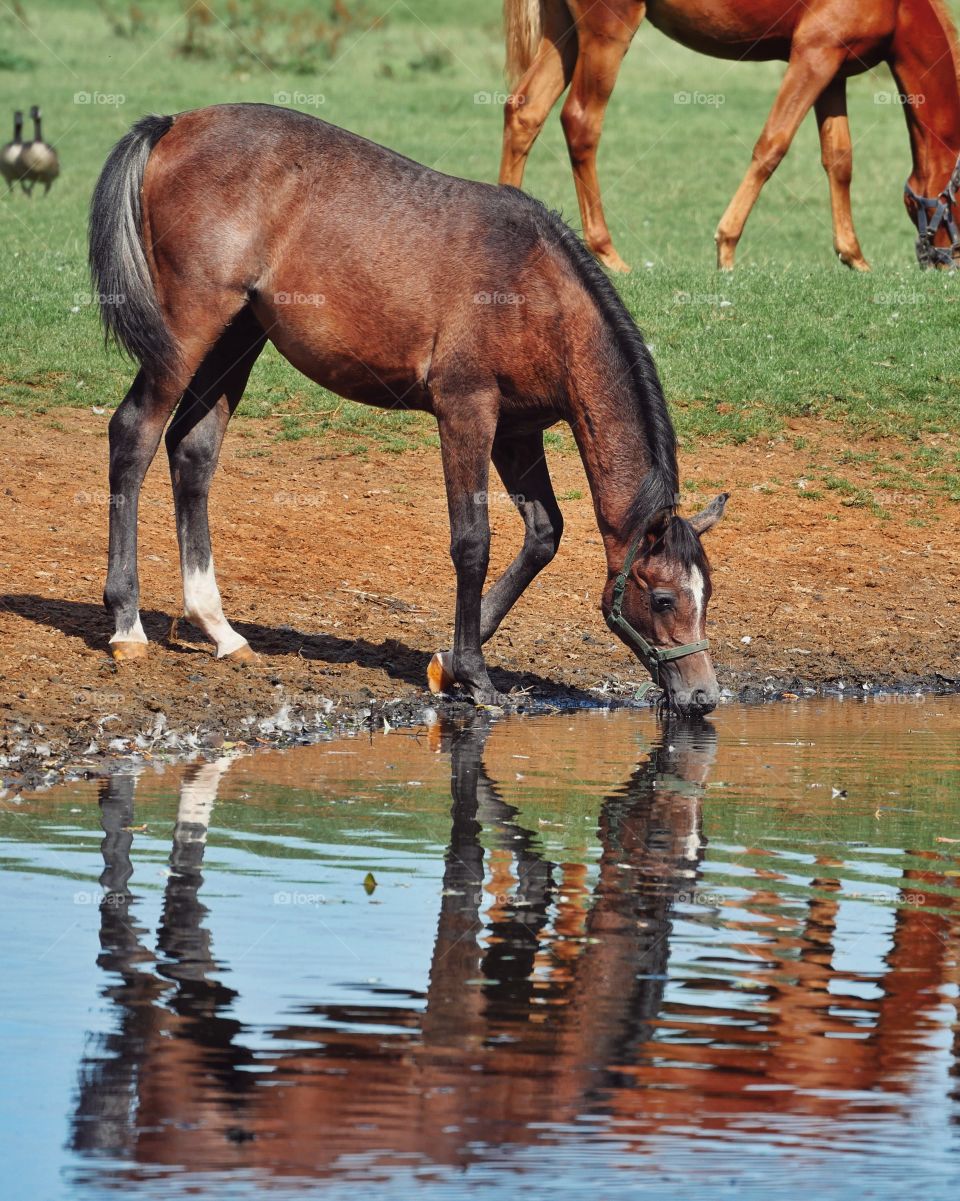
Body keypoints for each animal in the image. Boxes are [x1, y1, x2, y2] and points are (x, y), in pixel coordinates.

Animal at [90, 103, 730, 710]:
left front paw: (447, 660)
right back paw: (127, 626)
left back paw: (219, 629)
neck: (538, 291)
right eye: (663, 598)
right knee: (135, 434)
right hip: (187, 332)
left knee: (192, 453)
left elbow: (544, 532)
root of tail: (174, 123)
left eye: (708, 594)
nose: (702, 697)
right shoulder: (466, 411)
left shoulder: (516, 431)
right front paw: (473, 675)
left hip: (237, 338)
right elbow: (472, 541)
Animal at [499, 0, 960, 271]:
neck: (900, 7)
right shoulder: (812, 55)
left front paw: (855, 256)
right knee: (580, 122)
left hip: (564, 35)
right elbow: (772, 145)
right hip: (606, 33)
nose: (948, 261)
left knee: (525, 112)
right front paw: (727, 248)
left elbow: (839, 160)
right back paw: (608, 254)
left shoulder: (833, 71)